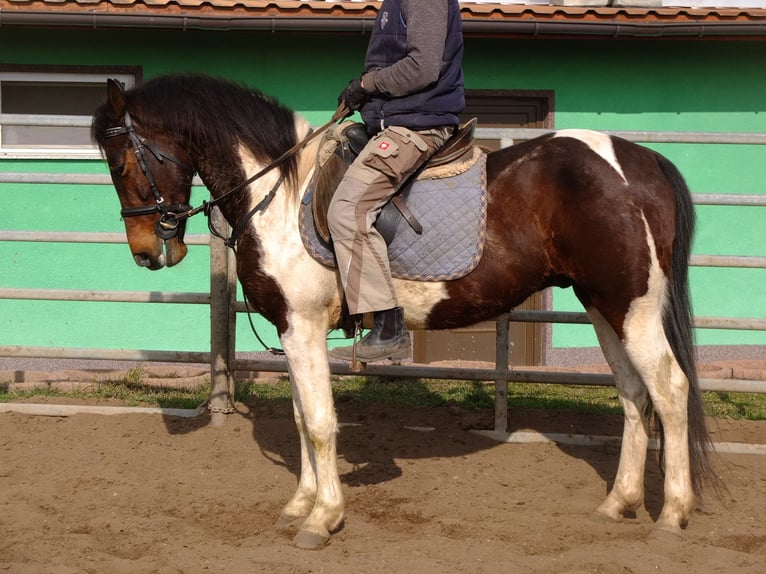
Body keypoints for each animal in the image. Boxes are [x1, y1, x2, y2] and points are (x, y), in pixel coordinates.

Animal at [91, 74, 720, 552]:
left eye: (120, 163)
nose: (147, 252)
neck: (280, 192)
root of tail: (640, 159)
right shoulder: (293, 331)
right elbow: (299, 418)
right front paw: (300, 503)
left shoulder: (303, 328)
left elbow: (318, 422)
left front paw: (322, 518)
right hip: (604, 305)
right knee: (634, 393)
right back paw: (619, 503)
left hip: (631, 307)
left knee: (669, 388)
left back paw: (672, 515)